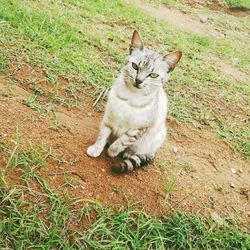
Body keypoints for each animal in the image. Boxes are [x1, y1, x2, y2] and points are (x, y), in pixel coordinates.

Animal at [87, 30, 181, 173]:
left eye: (153, 75)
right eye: (135, 66)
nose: (139, 80)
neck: (130, 97)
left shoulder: (138, 129)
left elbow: (122, 141)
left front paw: (112, 151)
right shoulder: (108, 119)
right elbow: (102, 136)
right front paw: (96, 149)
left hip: (158, 136)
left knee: (138, 152)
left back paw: (127, 153)